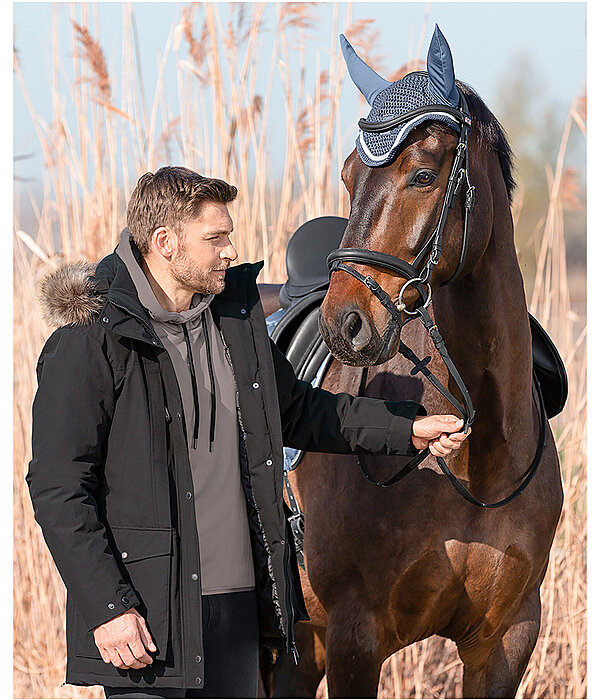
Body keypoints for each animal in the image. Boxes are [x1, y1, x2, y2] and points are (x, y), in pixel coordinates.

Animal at [256, 26, 564, 696]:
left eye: (423, 174)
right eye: (349, 176)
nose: (346, 323)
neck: (481, 462)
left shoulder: (506, 640)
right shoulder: (355, 637)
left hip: (297, 648)